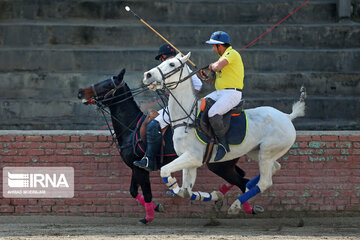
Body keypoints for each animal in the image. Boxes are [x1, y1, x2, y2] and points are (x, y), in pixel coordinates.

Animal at [142, 52, 306, 214]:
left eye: (171, 64)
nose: (147, 75)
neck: (187, 117)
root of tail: (287, 117)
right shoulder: (188, 160)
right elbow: (186, 191)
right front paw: (215, 195)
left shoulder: (193, 157)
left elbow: (165, 171)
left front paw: (172, 183)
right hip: (256, 151)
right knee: (275, 167)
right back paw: (247, 187)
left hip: (267, 152)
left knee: (265, 182)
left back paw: (236, 204)